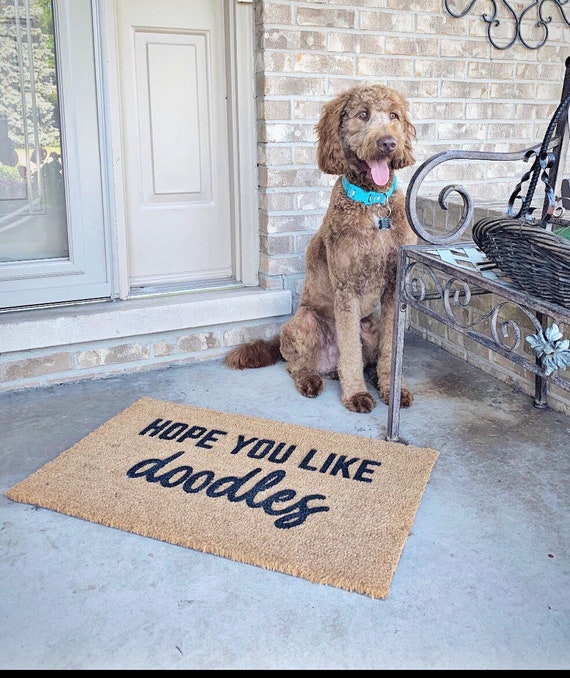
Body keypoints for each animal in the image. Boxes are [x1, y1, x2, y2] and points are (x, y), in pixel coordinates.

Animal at [224, 85, 414, 414]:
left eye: (394, 116)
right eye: (363, 114)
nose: (388, 143)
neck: (372, 203)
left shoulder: (392, 287)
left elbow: (391, 351)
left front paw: (391, 389)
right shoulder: (346, 288)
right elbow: (349, 353)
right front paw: (356, 395)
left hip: (370, 324)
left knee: (364, 358)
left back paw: (367, 376)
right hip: (304, 323)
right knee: (297, 364)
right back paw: (311, 379)